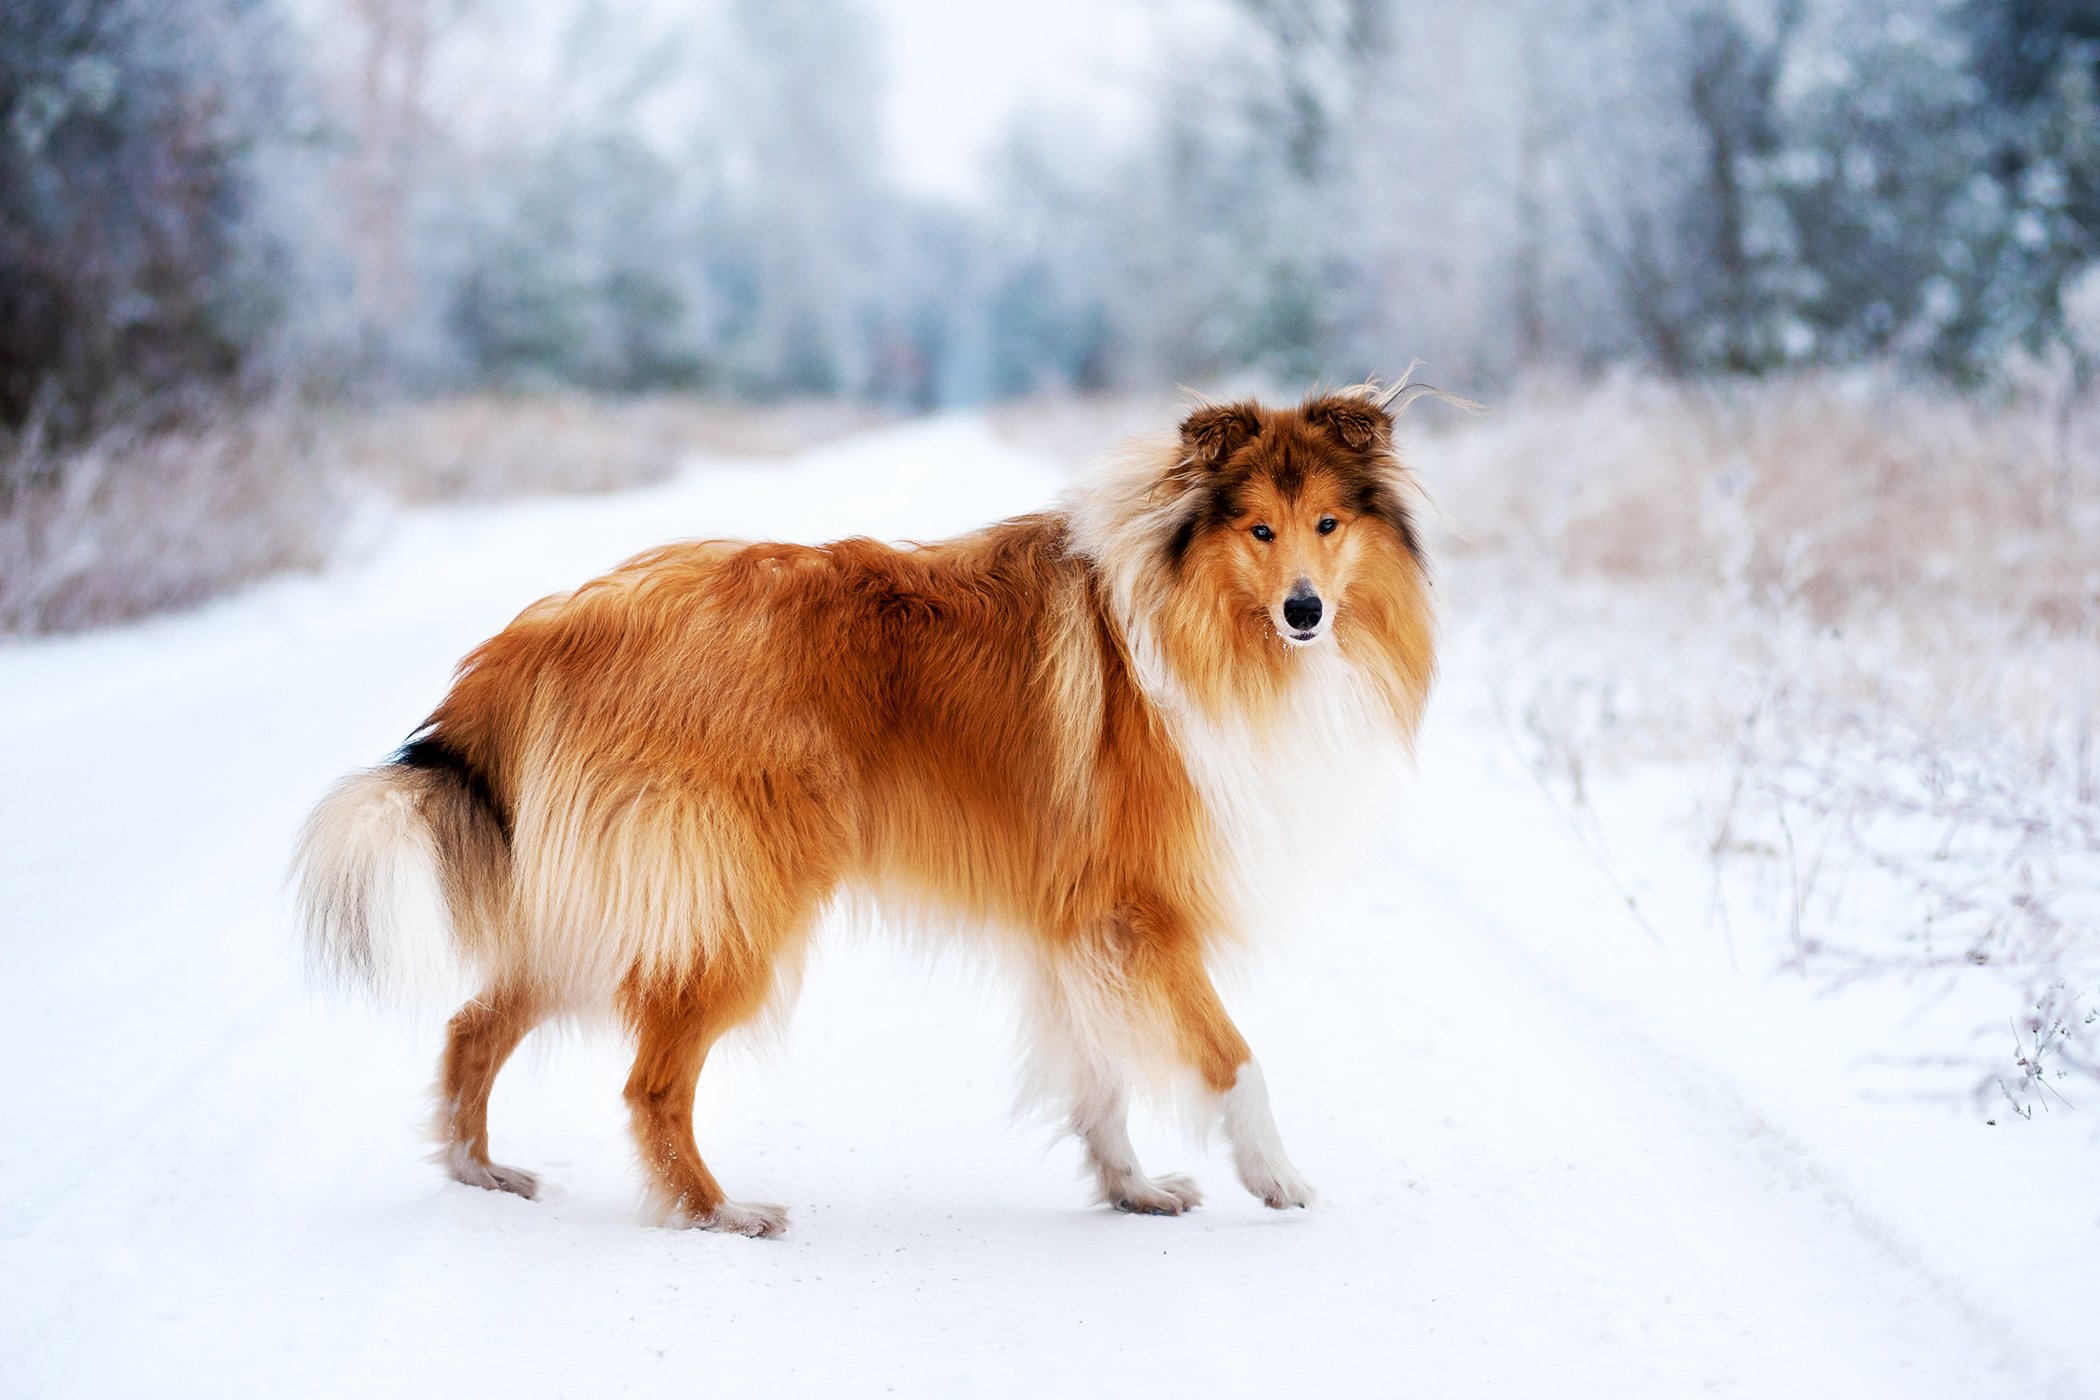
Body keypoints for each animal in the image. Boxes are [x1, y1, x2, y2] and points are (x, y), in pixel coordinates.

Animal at [296, 384, 1436, 1234]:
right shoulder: (1140, 914)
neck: (1193, 614)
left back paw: (478, 1170)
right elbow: (1233, 1054)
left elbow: (1098, 1074)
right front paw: (1276, 1176)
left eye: (1328, 524)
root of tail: (552, 629)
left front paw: (1132, 1186)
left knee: (474, 1022)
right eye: (1259, 529)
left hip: (611, 898)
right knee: (648, 1083)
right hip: (729, 901)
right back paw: (717, 1210)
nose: (1306, 611)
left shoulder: (1075, 921)